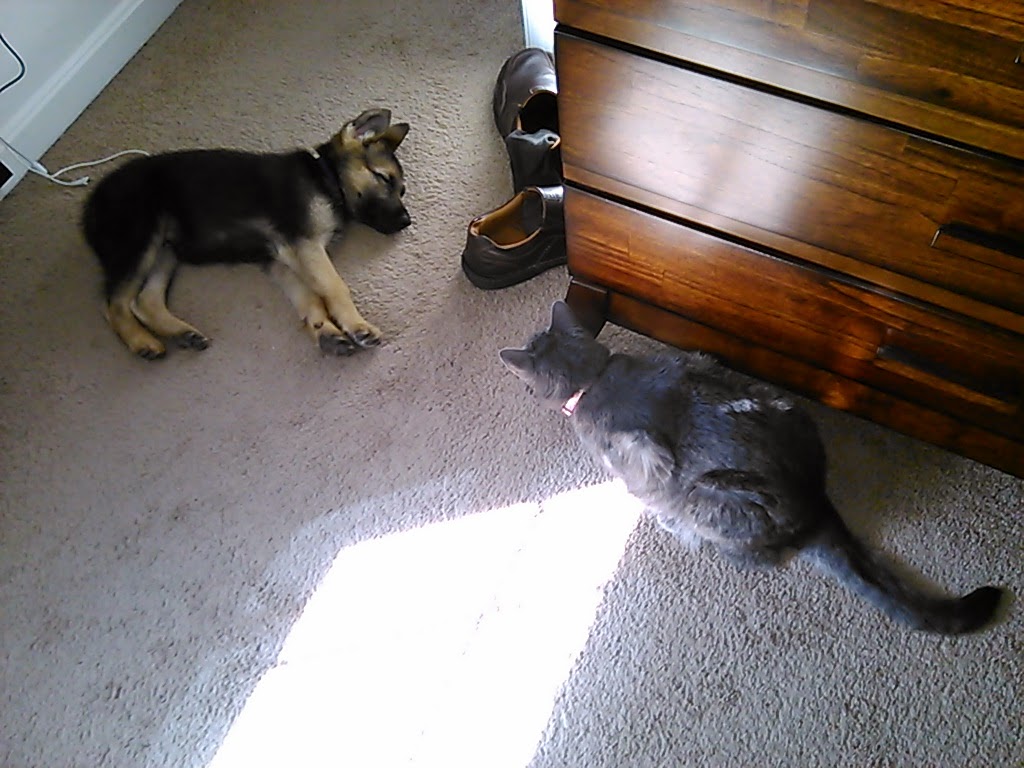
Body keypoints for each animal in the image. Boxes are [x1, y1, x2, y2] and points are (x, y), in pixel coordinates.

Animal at [81, 108, 410, 359]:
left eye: (402, 190)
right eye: (383, 178)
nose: (406, 221)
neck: (325, 178)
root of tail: (92, 202)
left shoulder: (280, 258)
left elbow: (309, 298)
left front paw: (325, 332)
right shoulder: (304, 245)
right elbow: (334, 288)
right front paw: (357, 326)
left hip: (166, 248)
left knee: (145, 301)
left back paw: (181, 333)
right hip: (141, 238)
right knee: (113, 305)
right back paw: (141, 342)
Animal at [499, 301, 1005, 634]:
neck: (595, 378)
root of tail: (815, 504)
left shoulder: (641, 454)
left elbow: (641, 480)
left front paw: (652, 509)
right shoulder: (693, 359)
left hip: (706, 495)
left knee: (756, 556)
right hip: (766, 395)